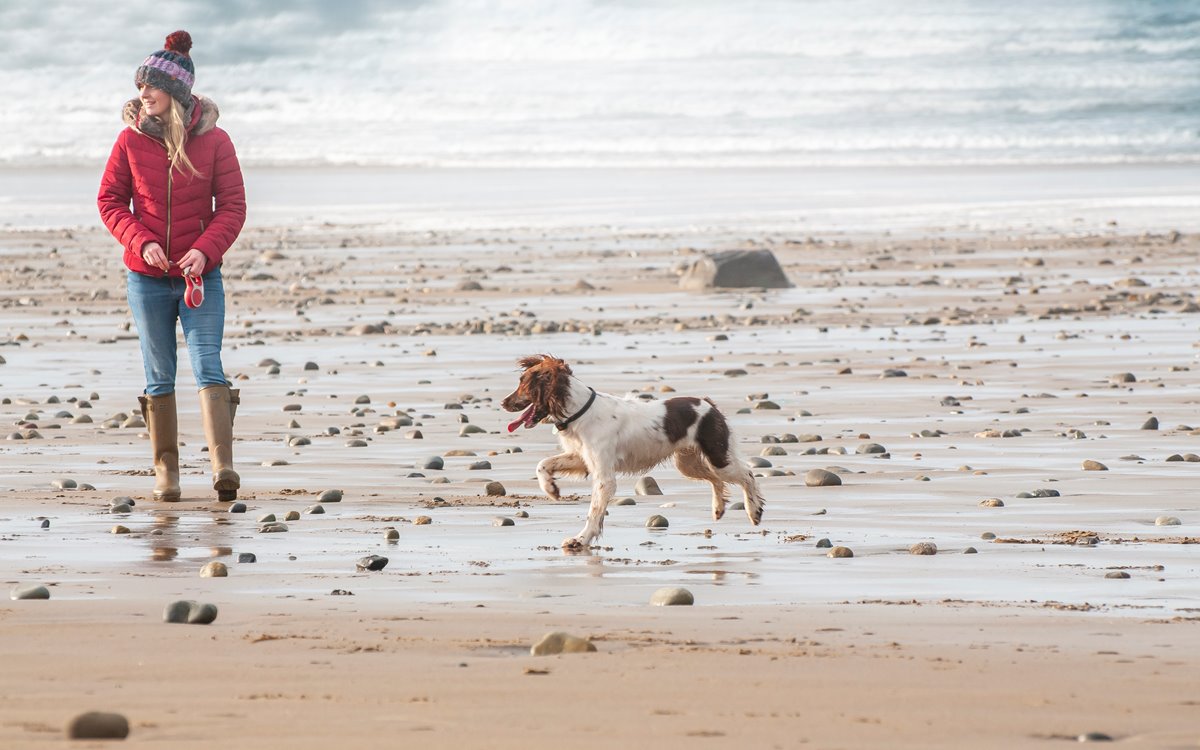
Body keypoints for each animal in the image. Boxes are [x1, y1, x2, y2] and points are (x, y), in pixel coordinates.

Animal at [501, 350, 763, 549]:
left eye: (523, 384)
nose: (503, 402)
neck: (579, 411)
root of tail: (708, 403)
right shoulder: (582, 458)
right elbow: (543, 464)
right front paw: (552, 489)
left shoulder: (604, 477)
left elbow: (594, 511)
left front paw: (580, 539)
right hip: (688, 463)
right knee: (716, 481)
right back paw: (718, 508)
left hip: (718, 457)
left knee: (747, 474)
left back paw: (754, 511)